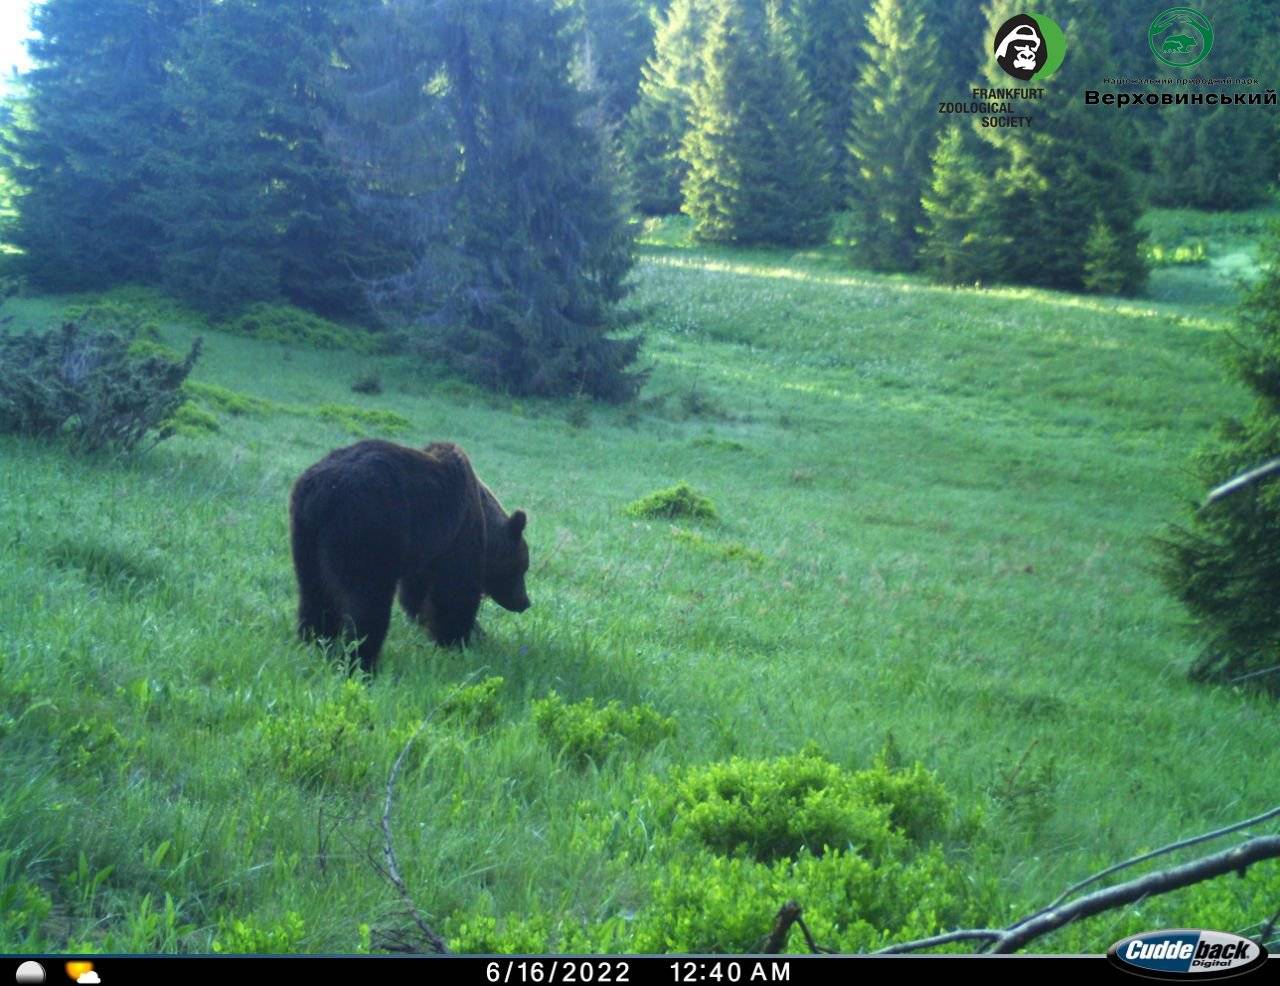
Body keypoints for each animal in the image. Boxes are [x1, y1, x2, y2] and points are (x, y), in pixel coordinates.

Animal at [290, 435, 529, 665]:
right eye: (522, 568)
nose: (525, 602)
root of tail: (322, 496)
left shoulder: (426, 548)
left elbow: (417, 595)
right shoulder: (456, 534)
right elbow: (454, 592)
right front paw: (461, 639)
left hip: (306, 537)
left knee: (314, 592)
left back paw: (316, 642)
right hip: (365, 531)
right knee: (366, 601)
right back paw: (361, 659)